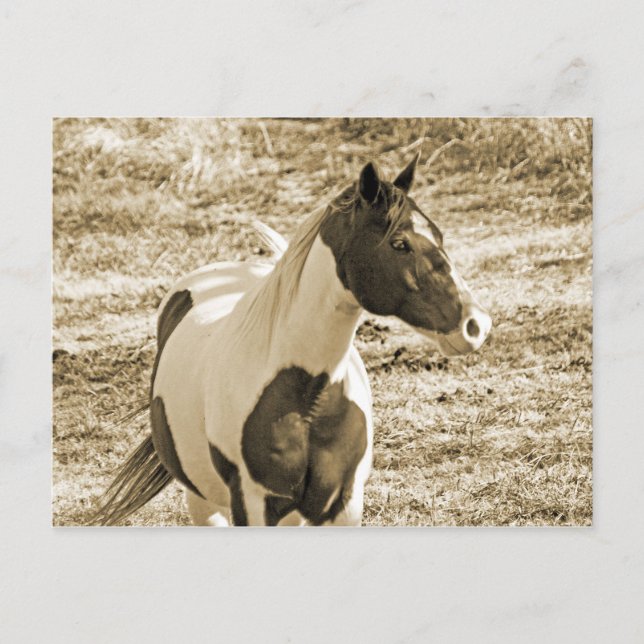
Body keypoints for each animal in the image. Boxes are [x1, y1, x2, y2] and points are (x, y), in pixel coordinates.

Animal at [93, 154, 491, 526]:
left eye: (439, 236)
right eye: (399, 243)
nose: (476, 325)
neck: (306, 397)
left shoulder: (344, 505)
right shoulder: (254, 504)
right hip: (204, 502)